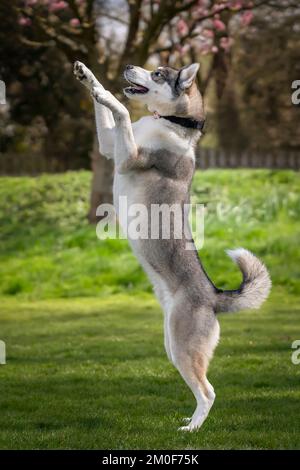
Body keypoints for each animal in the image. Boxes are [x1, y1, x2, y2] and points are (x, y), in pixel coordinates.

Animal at [73, 60, 272, 432]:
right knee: (201, 389)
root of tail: (213, 296)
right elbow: (109, 116)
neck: (168, 123)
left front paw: (106, 94)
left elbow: (121, 110)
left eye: (158, 74)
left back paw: (192, 428)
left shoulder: (128, 156)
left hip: (182, 347)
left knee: (208, 391)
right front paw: (89, 78)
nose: (128, 65)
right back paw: (190, 418)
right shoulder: (110, 147)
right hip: (171, 345)